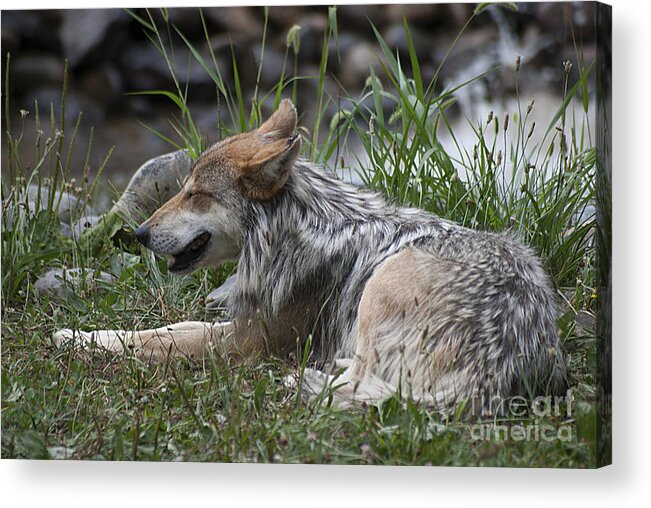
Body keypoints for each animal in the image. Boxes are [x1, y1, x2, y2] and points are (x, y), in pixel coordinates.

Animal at [54, 98, 564, 412]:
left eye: (196, 194)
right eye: (182, 188)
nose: (138, 234)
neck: (296, 229)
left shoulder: (247, 344)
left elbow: (154, 341)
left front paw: (76, 337)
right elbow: (170, 327)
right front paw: (82, 333)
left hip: (381, 282)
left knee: (366, 383)